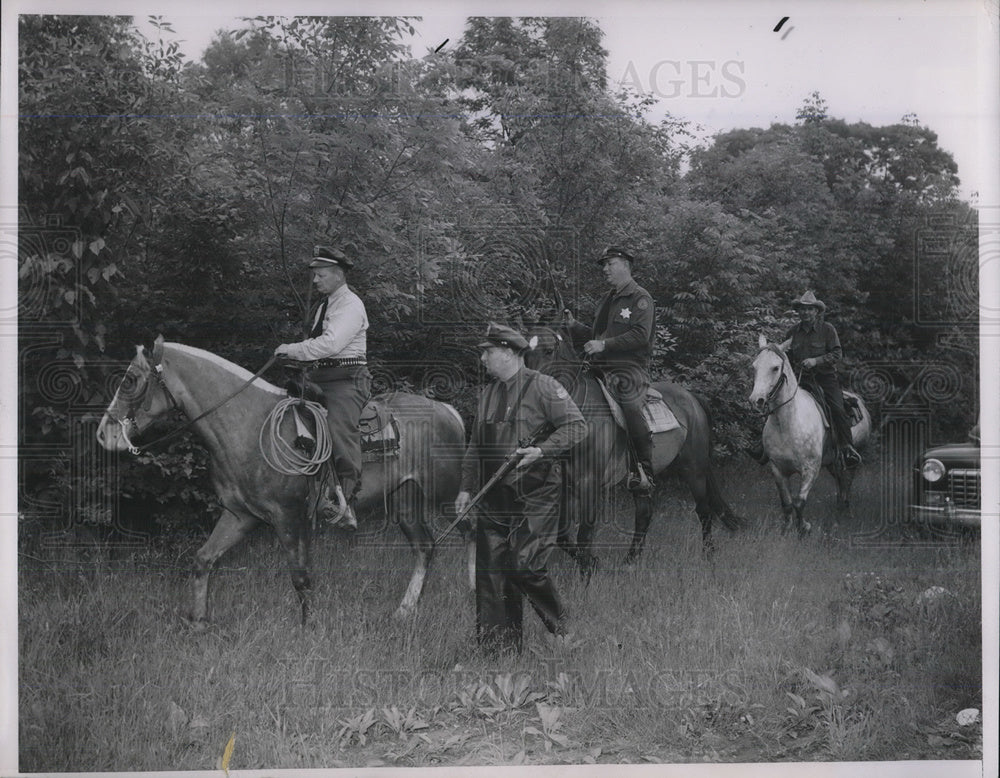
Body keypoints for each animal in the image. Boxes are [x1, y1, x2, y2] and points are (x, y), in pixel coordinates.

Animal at [95, 334, 466, 624]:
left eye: (129, 379)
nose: (103, 434)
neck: (249, 425)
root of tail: (448, 411)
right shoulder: (240, 515)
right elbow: (203, 560)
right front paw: (198, 621)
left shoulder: (287, 515)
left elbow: (300, 577)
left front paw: (308, 627)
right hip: (406, 500)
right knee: (425, 547)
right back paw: (405, 610)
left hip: (447, 495)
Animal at [524, 322, 744, 568]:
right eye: (524, 353)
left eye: (548, 351)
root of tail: (692, 398)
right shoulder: (567, 483)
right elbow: (562, 536)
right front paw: (592, 562)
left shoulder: (590, 482)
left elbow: (585, 533)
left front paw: (590, 565)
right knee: (644, 513)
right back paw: (631, 559)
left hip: (693, 468)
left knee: (704, 510)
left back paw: (708, 554)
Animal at [752, 334, 868, 532]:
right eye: (754, 366)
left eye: (775, 368)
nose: (756, 400)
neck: (787, 424)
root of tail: (858, 400)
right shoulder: (778, 469)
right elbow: (787, 504)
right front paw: (786, 529)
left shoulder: (811, 469)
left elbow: (799, 502)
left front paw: (803, 528)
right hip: (833, 462)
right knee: (840, 481)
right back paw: (839, 509)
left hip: (853, 459)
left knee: (847, 482)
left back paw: (845, 512)